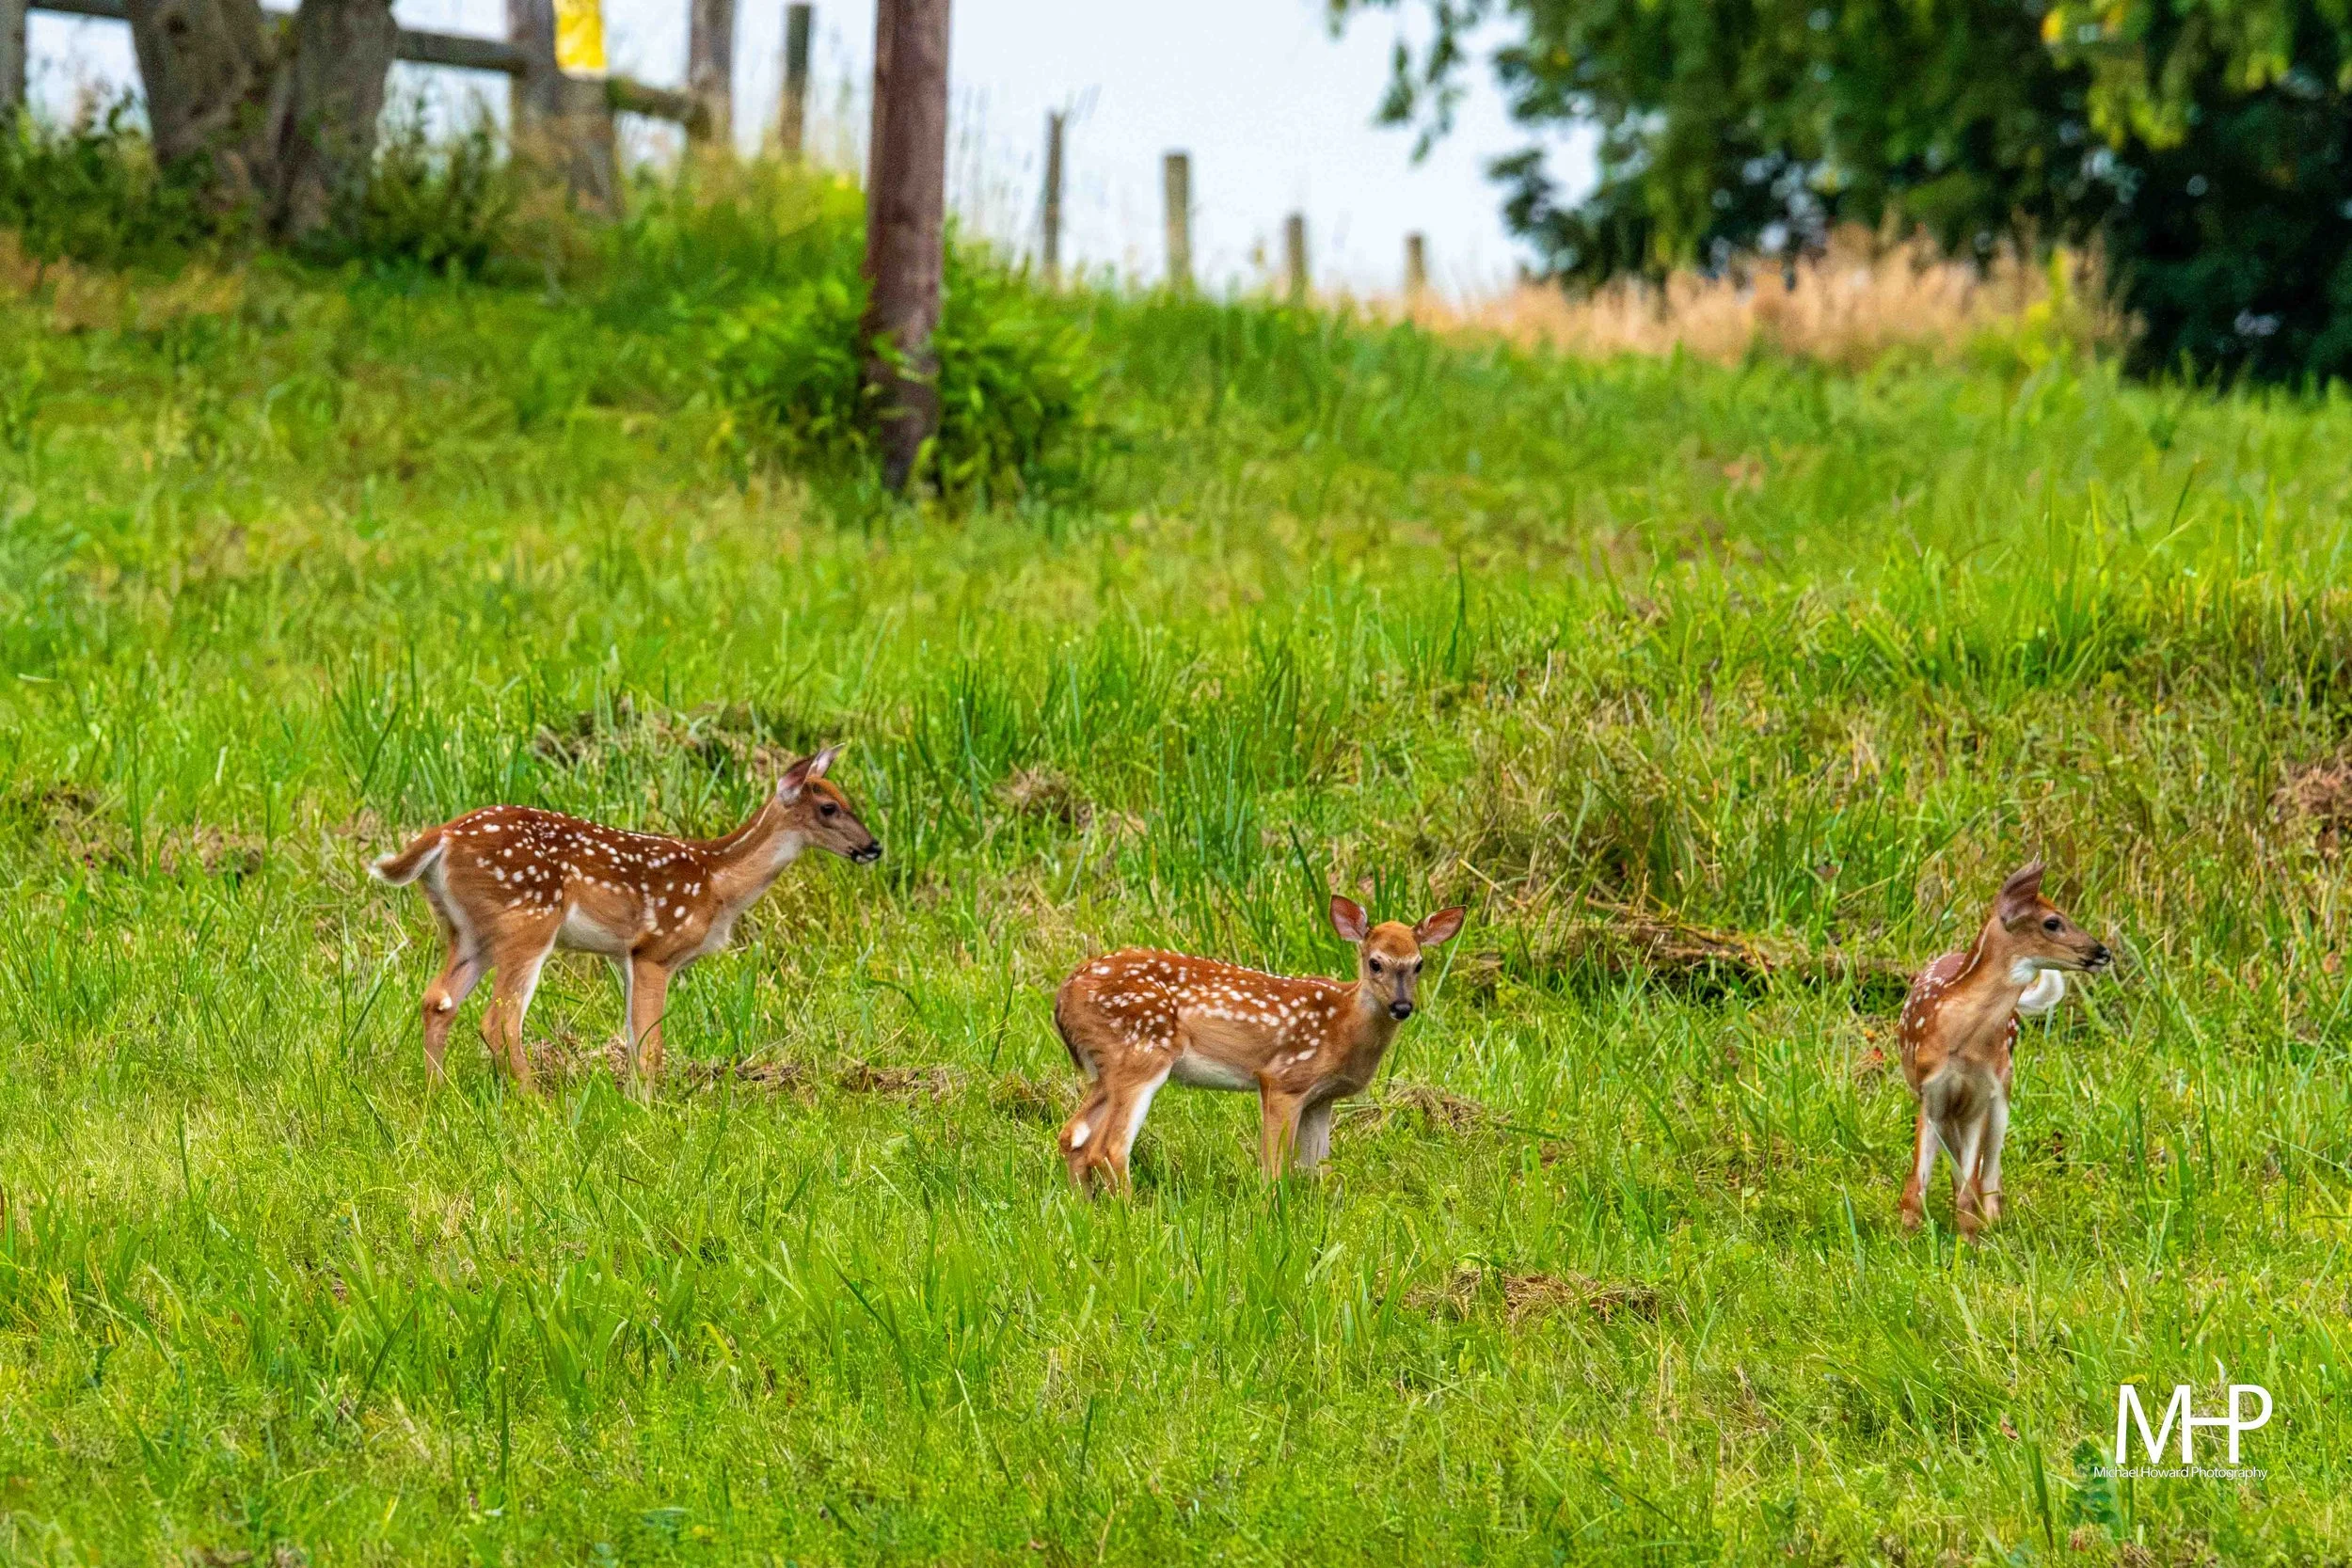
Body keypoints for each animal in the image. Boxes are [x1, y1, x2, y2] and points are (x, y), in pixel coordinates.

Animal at [367, 746, 880, 1094]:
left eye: (848, 799)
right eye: (829, 807)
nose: (873, 846)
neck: (718, 881)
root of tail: (442, 837)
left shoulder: (626, 956)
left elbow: (636, 1039)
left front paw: (635, 1102)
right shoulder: (656, 949)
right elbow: (651, 1044)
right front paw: (654, 1106)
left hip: (468, 929)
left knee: (438, 1000)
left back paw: (438, 1094)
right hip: (528, 922)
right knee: (500, 1017)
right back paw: (533, 1101)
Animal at [1052, 894, 1466, 1192]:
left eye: (1419, 964)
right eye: (1375, 963)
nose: (1402, 1006)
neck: (1342, 1025)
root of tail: (1063, 996)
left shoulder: (1321, 1098)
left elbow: (1320, 1171)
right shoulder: (1283, 1079)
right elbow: (1274, 1169)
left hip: (1105, 1068)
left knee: (1073, 1137)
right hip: (1141, 1053)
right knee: (1109, 1149)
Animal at [1896, 861, 2110, 1238]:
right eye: (2052, 922)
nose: (2103, 952)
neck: (1959, 1043)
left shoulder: (1982, 1092)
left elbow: (1969, 1184)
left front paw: (1970, 1237)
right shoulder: (1930, 1091)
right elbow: (1917, 1184)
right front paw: (1907, 1235)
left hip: (2004, 1088)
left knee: (1988, 1170)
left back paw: (1993, 1220)